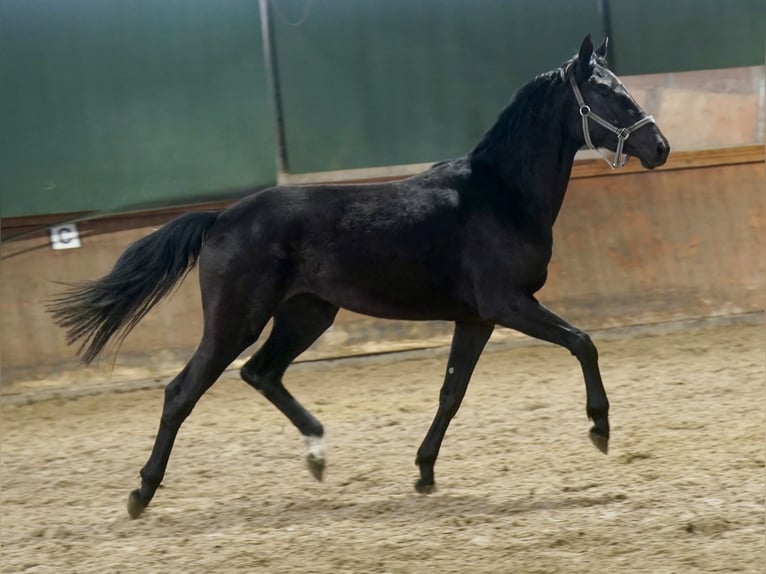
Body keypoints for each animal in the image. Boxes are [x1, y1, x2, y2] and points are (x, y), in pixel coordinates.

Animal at [51, 37, 668, 520]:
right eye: (610, 93)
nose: (659, 147)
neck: (499, 196)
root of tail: (221, 218)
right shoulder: (507, 305)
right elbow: (583, 342)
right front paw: (599, 429)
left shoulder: (475, 318)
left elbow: (452, 392)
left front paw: (423, 472)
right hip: (236, 320)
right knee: (184, 390)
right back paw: (141, 493)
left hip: (307, 314)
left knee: (261, 373)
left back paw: (319, 455)